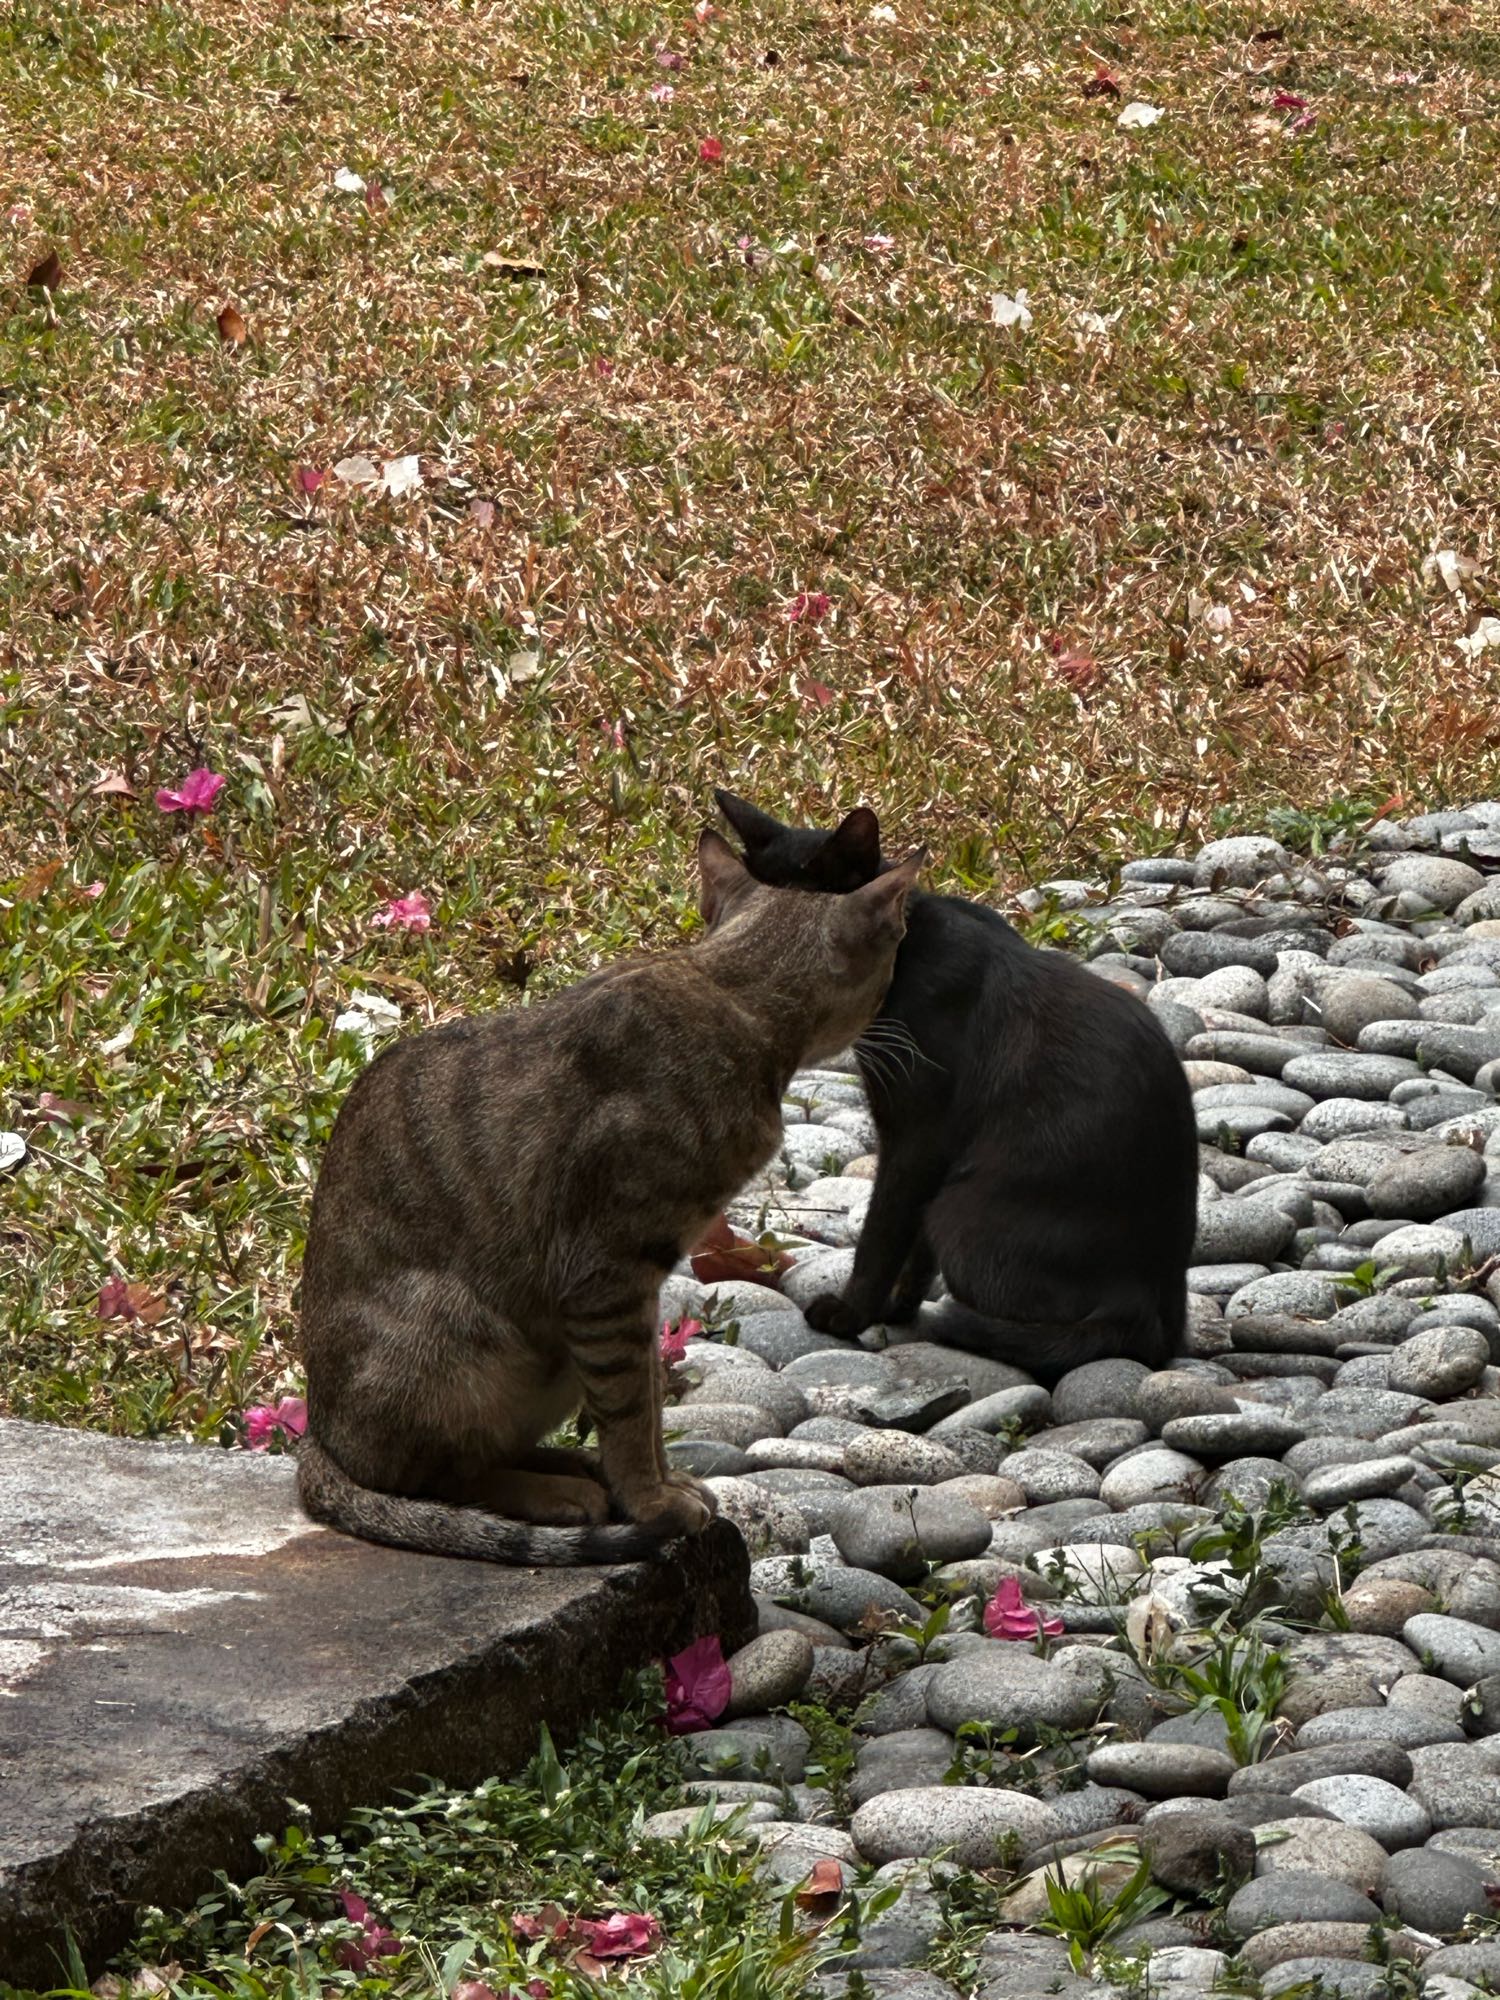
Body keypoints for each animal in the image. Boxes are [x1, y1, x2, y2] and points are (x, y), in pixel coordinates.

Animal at [297, 830, 922, 1564]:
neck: (728, 990)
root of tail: (318, 1433)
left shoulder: (641, 1290)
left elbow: (647, 1398)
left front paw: (661, 1480)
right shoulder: (607, 1274)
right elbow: (628, 1409)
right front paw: (650, 1501)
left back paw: (569, 1467)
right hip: (467, 1339)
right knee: (435, 1477)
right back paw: (556, 1491)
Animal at [716, 791, 1197, 1383]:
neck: (905, 952)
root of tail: (1150, 1301)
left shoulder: (918, 1137)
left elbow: (883, 1233)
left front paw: (851, 1315)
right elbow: (913, 1249)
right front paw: (896, 1308)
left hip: (960, 1214)